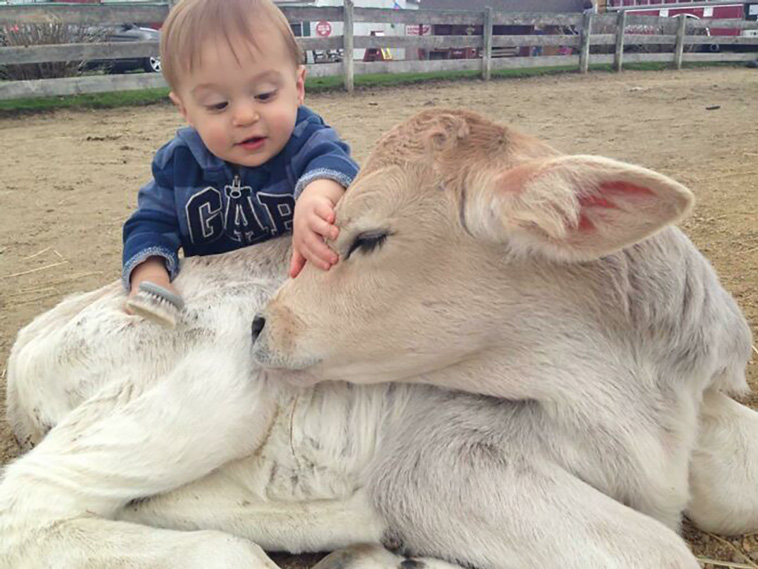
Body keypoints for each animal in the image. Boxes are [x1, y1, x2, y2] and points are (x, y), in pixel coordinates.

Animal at [1, 109, 755, 569]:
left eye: (368, 237)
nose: (266, 322)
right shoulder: (437, 457)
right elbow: (660, 549)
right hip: (205, 384)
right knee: (33, 504)